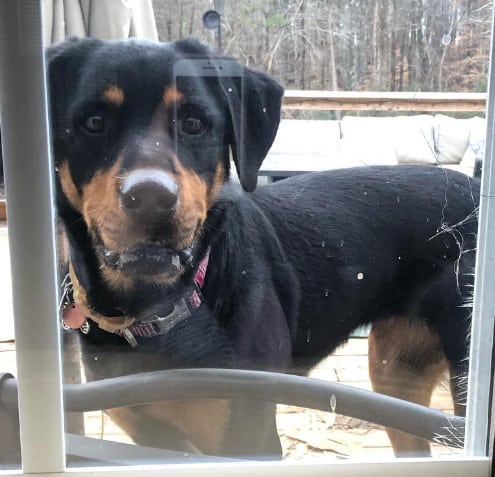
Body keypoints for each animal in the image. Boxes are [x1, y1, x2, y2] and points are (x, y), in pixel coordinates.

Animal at [48, 38, 478, 458]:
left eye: (193, 123)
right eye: (93, 122)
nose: (151, 197)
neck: (157, 308)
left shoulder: (248, 435)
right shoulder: (151, 435)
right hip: (396, 372)